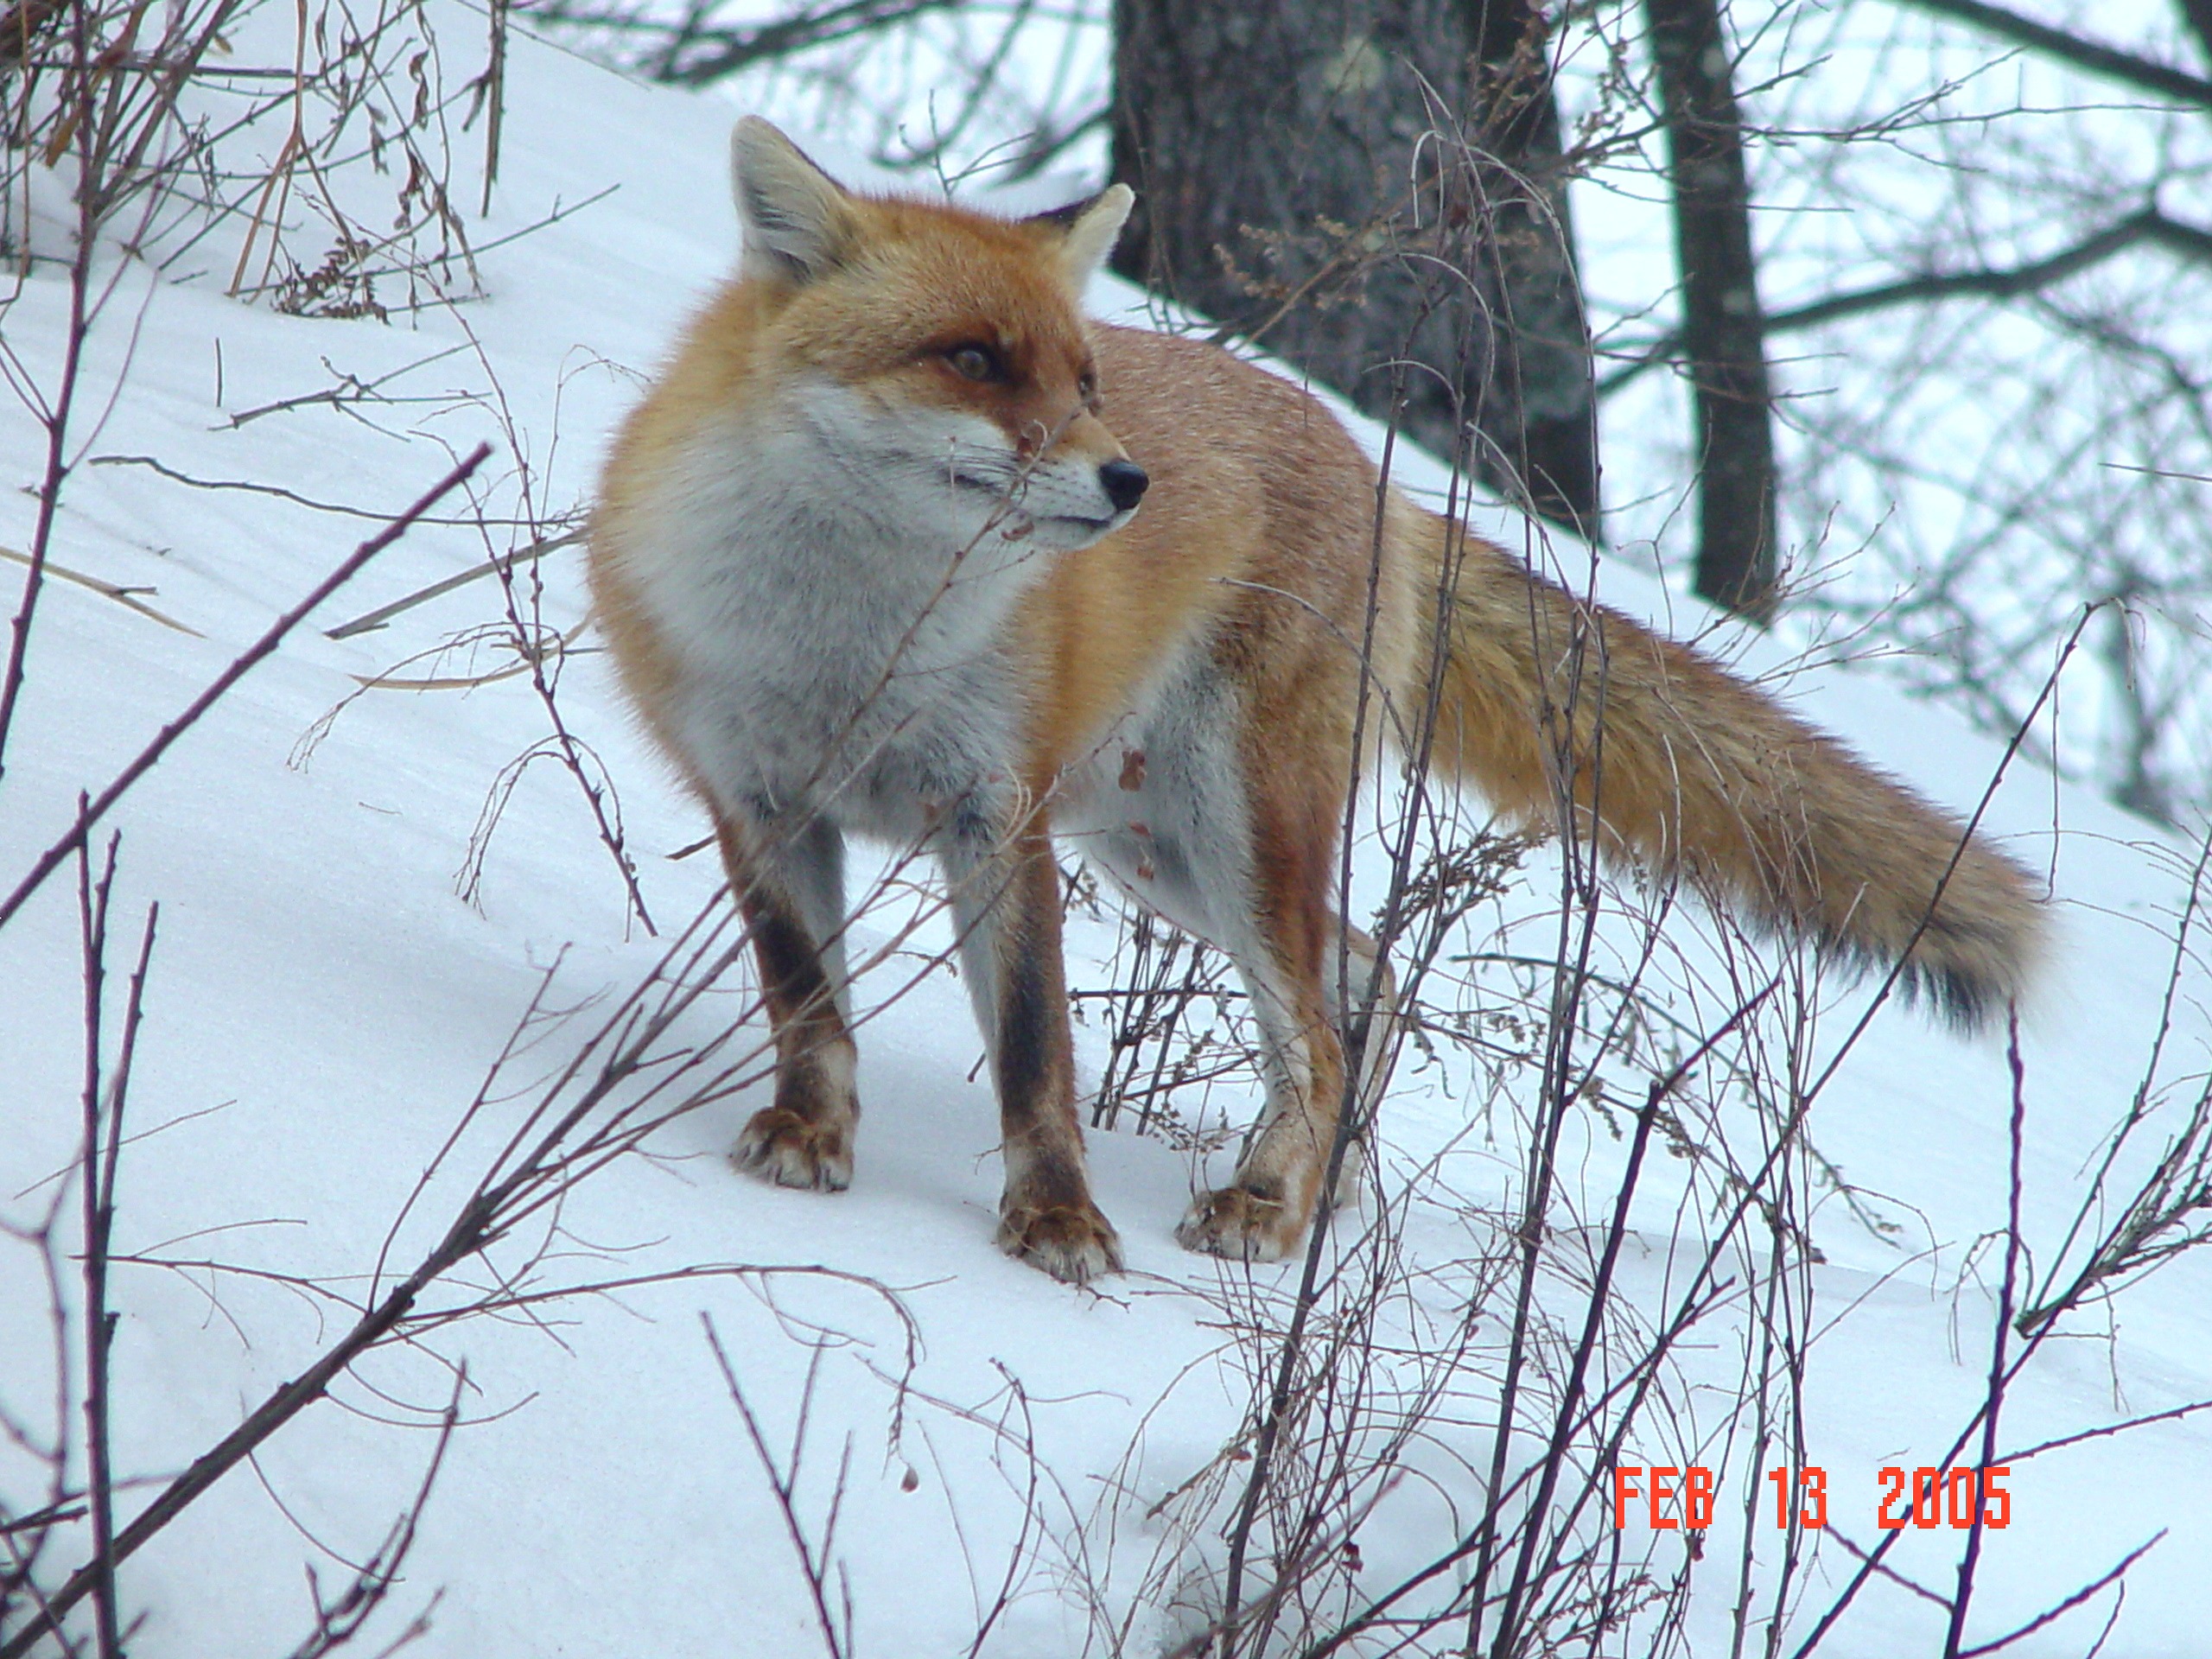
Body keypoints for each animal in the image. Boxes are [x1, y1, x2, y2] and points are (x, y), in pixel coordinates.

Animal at [583, 119, 2035, 1282]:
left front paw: (1058, 1226)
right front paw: (809, 1135)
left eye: (1084, 381)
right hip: (1162, 852)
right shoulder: (759, 798)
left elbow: (1036, 1054)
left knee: (1325, 1033)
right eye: (975, 361)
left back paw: (1272, 1208)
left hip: (1231, 828)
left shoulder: (999, 816)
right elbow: (809, 1004)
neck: (848, 638)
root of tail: (1382, 474)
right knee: (1367, 975)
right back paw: (1322, 1189)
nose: (1129, 483)